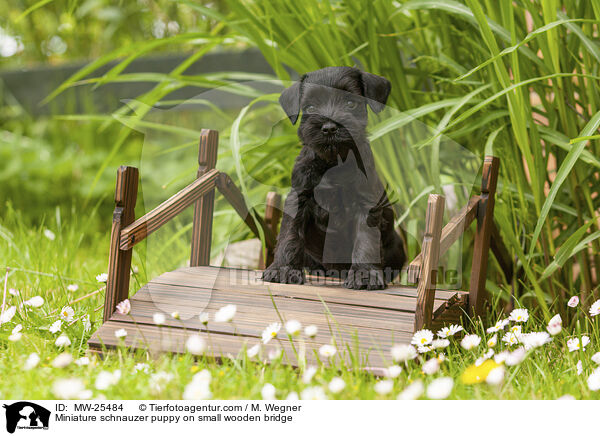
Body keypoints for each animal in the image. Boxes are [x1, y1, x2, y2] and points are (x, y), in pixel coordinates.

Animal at [260, 67, 406, 290]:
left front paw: (364, 274)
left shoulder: (366, 205)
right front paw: (282, 269)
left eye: (350, 103)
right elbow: (289, 235)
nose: (329, 127)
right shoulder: (299, 198)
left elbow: (366, 241)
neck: (333, 164)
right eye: (310, 106)